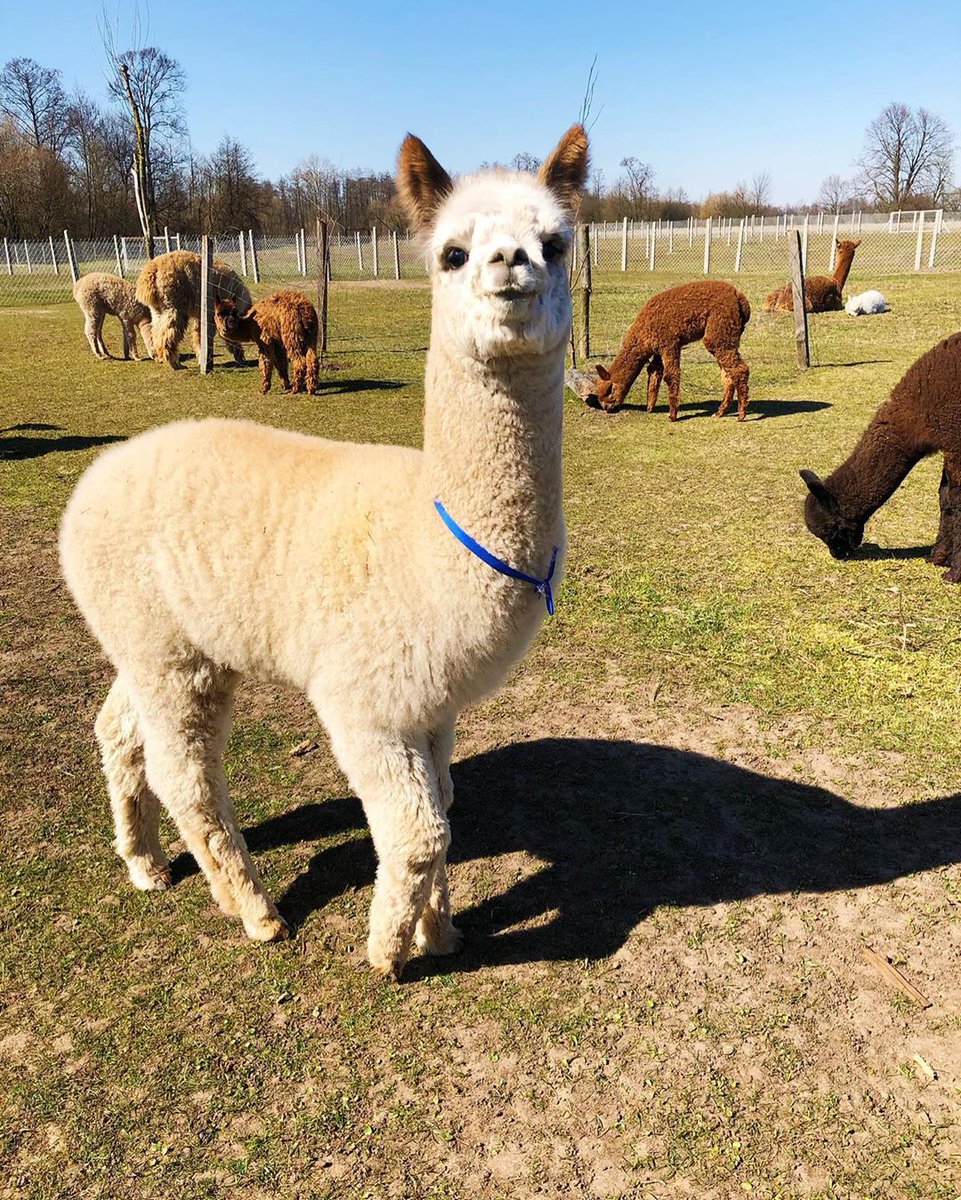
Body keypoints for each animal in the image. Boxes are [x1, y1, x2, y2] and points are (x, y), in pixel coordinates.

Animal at [58, 124, 589, 980]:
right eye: (450, 253)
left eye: (556, 243)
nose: (511, 261)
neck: (430, 541)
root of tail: (94, 480)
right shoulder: (363, 702)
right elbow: (418, 833)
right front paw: (390, 951)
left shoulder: (431, 707)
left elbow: (443, 810)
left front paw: (440, 928)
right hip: (169, 654)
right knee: (184, 774)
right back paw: (252, 908)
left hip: (158, 639)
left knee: (117, 729)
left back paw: (144, 864)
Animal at [569, 279, 751, 420]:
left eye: (609, 391)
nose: (608, 408)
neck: (642, 333)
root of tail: (740, 297)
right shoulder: (657, 350)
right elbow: (654, 373)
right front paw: (650, 407)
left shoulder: (669, 343)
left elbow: (671, 376)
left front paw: (672, 416)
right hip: (727, 336)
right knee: (728, 374)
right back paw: (720, 412)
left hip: (719, 330)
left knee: (740, 369)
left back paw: (741, 415)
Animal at [800, 331, 961, 580]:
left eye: (829, 529)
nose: (838, 554)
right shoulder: (949, 445)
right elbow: (945, 499)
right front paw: (938, 558)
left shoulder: (955, 441)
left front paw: (954, 573)